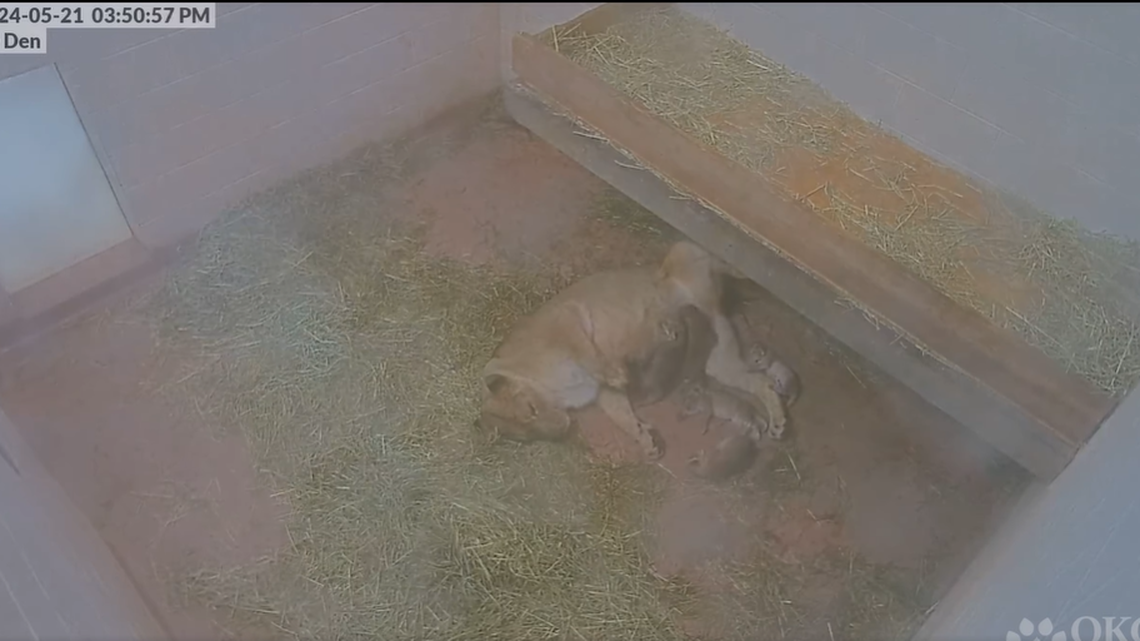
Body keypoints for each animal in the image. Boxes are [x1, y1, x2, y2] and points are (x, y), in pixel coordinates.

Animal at [475, 240, 788, 460]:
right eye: (529, 435)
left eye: (531, 410)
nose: (562, 429)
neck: (553, 393)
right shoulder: (605, 395)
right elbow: (624, 419)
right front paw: (647, 442)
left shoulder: (569, 318)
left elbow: (589, 354)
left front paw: (615, 373)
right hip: (720, 361)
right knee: (759, 381)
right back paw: (778, 423)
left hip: (682, 253)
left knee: (725, 266)